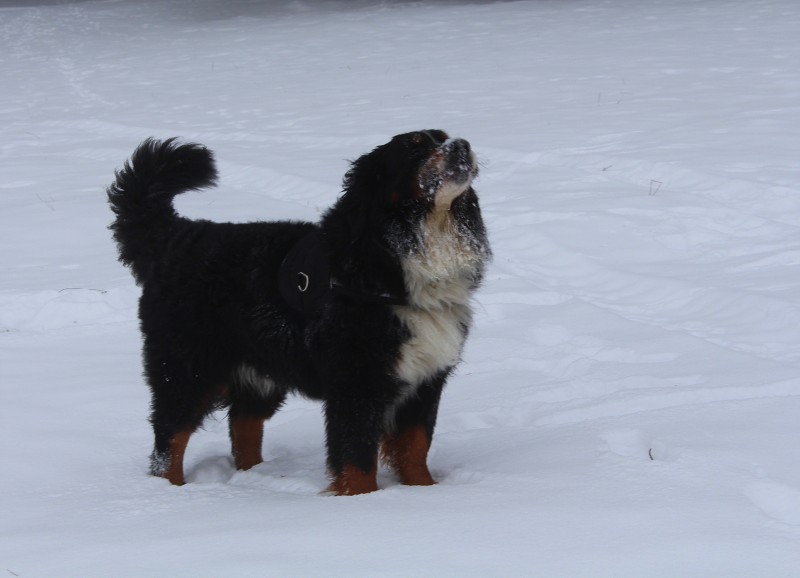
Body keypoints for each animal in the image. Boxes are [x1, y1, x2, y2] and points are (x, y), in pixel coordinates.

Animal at [107, 130, 490, 496]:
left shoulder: (425, 380)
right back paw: (169, 491)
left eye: (444, 136)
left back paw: (255, 476)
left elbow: (415, 447)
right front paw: (363, 500)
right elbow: (356, 457)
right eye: (415, 147)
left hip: (260, 372)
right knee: (169, 436)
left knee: (243, 427)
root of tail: (178, 234)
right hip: (188, 369)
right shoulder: (357, 382)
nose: (462, 145)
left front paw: (423, 493)